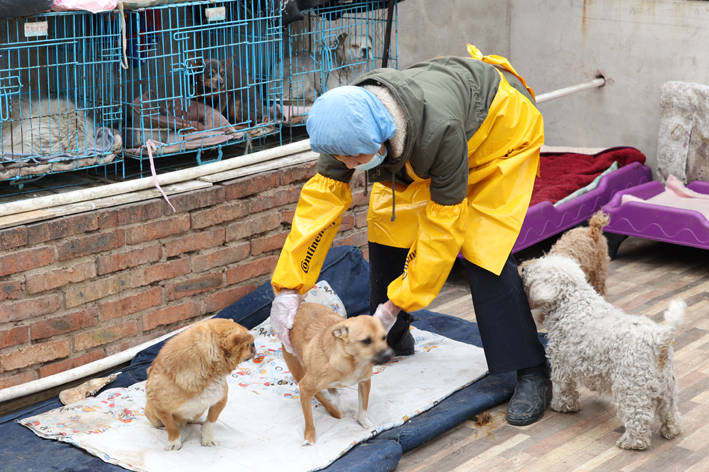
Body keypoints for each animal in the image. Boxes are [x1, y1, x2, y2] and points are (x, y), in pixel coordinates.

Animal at [143, 318, 254, 450]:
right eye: (248, 344)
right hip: (152, 416)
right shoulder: (161, 410)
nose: (254, 345)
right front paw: (174, 442)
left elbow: (210, 421)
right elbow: (172, 427)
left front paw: (208, 438)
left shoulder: (220, 400)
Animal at [282, 302, 392, 446]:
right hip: (297, 369)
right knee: (319, 395)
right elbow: (309, 419)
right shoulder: (305, 387)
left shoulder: (364, 382)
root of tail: (301, 305)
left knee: (331, 390)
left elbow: (363, 407)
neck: (352, 361)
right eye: (366, 341)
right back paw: (334, 410)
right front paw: (309, 436)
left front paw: (363, 422)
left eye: (384, 337)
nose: (388, 355)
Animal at [516, 254, 684, 450]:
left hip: (631, 387)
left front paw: (562, 406)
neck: (572, 302)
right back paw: (671, 430)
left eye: (537, 267)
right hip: (668, 385)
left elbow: (563, 388)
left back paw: (631, 442)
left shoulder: (561, 363)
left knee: (638, 418)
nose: (523, 269)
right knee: (670, 411)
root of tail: (658, 340)